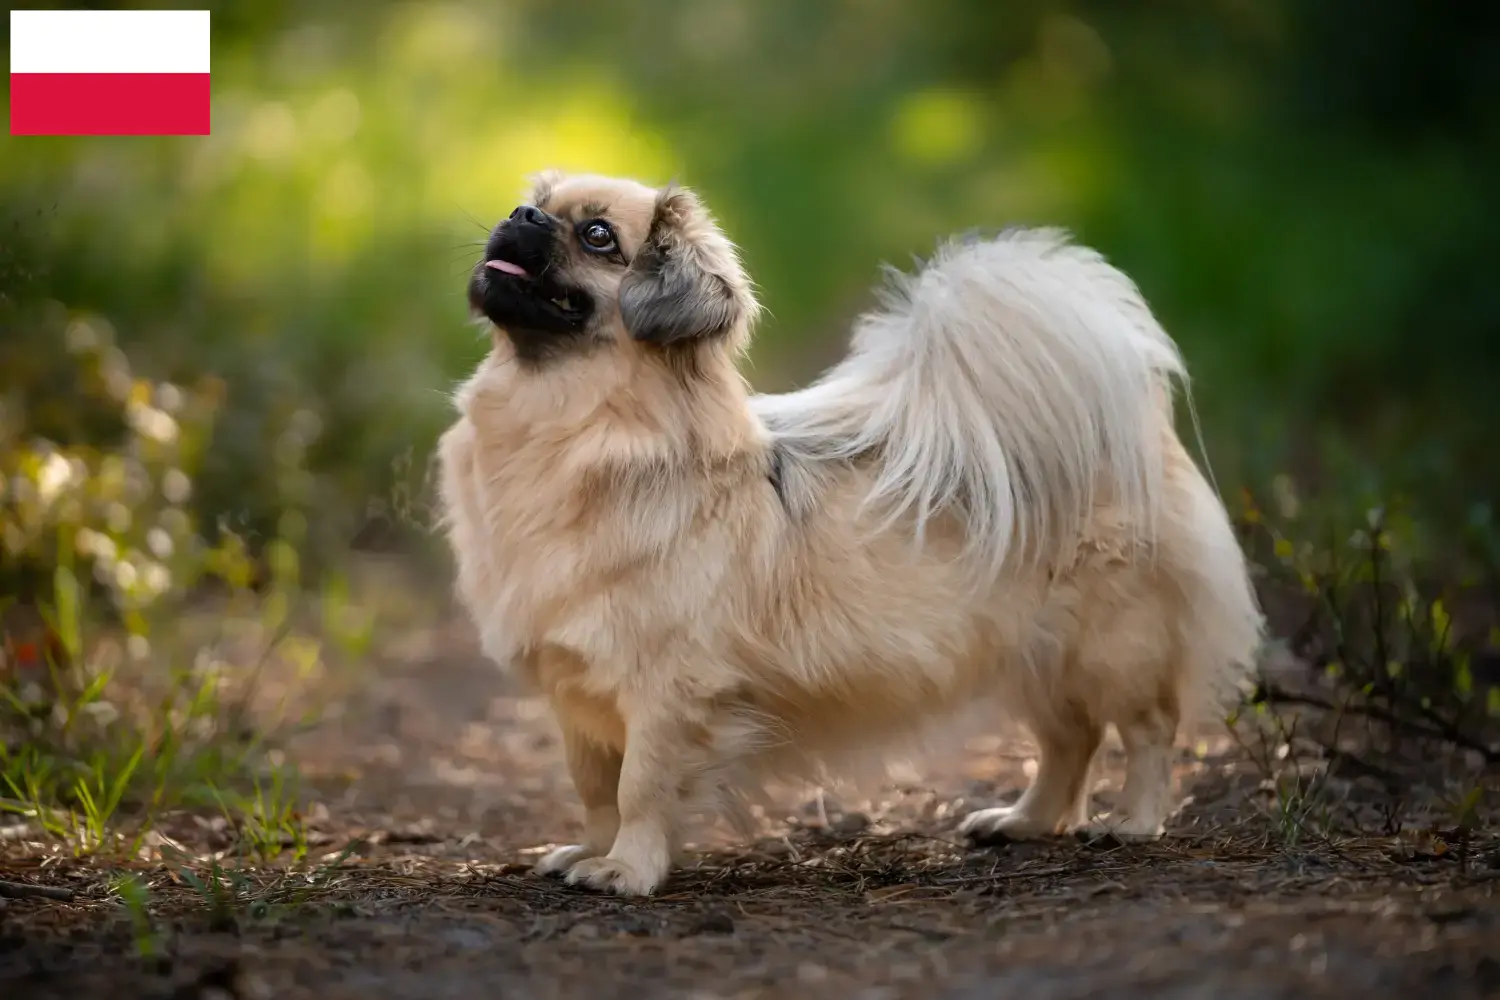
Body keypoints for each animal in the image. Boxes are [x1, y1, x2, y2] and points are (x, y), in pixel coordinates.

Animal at [438, 172, 1266, 899]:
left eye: (598, 236)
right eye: (535, 204)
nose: (521, 216)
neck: (569, 429)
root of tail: (1133, 432)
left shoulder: (666, 694)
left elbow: (641, 789)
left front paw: (626, 871)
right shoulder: (579, 697)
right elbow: (596, 792)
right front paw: (590, 851)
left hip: (1112, 649)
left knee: (1147, 730)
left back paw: (1132, 822)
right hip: (1031, 656)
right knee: (1072, 742)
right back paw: (1023, 822)